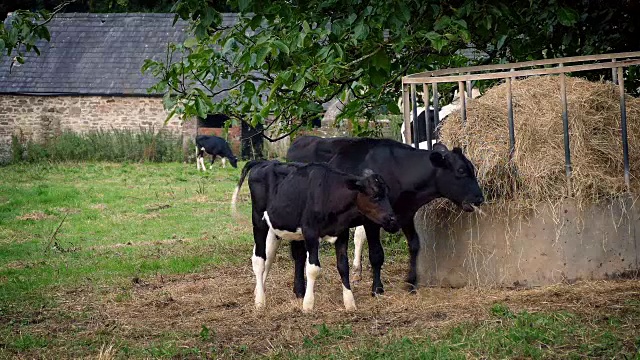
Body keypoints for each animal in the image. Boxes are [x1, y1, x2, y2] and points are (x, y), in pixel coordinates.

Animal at [230, 160, 400, 312]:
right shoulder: (310, 233)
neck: (329, 193)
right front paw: (308, 304)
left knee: (268, 256)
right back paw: (260, 302)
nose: (393, 220)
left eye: (387, 194)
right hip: (258, 221)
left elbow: (343, 266)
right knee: (259, 259)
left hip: (274, 226)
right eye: (375, 196)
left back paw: (258, 291)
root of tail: (262, 162)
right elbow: (312, 268)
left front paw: (349, 302)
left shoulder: (342, 233)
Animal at [288, 136, 482, 294]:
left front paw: (411, 283)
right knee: (299, 253)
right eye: (461, 171)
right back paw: (299, 289)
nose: (480, 198)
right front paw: (377, 288)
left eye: (472, 168)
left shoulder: (406, 215)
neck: (399, 171)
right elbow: (376, 254)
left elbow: (415, 245)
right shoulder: (371, 220)